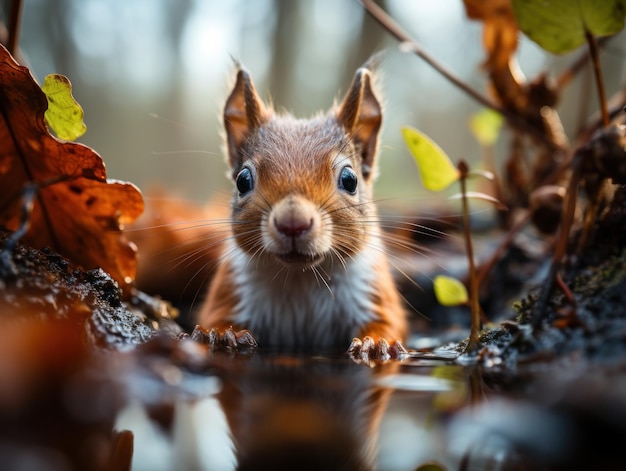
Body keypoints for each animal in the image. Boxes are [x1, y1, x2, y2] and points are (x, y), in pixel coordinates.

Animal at [197, 60, 408, 358]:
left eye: (350, 180)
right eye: (242, 180)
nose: (292, 223)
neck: (300, 277)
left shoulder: (373, 289)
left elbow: (389, 321)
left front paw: (377, 343)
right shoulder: (230, 288)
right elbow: (214, 315)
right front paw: (222, 333)